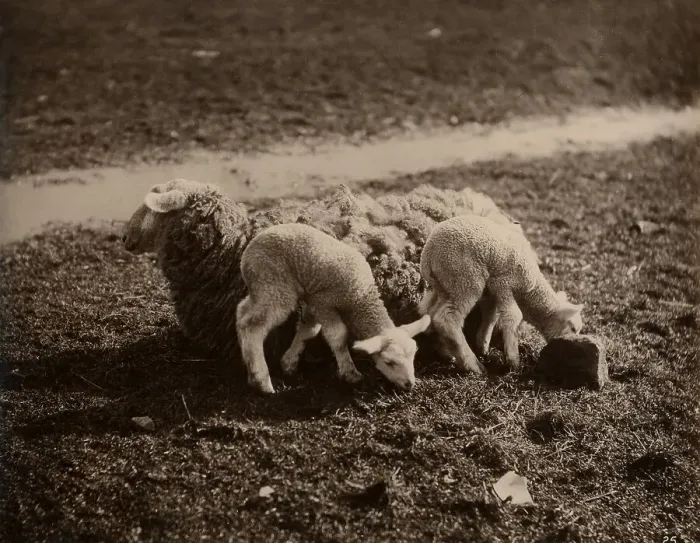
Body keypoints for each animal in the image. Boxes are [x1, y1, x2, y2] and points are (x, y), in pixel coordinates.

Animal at [236, 222, 431, 394]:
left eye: (413, 356)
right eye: (389, 362)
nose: (409, 384)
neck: (360, 297)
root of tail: (248, 252)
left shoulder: (314, 302)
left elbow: (308, 331)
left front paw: (289, 363)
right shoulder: (324, 302)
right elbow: (338, 336)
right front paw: (349, 373)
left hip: (262, 287)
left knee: (242, 312)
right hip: (274, 284)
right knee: (253, 325)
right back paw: (261, 381)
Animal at [418, 214, 584, 374]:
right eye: (573, 329)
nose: (573, 348)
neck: (531, 291)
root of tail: (428, 253)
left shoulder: (491, 291)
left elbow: (491, 316)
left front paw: (483, 345)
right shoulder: (503, 283)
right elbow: (513, 315)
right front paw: (513, 360)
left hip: (444, 286)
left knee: (430, 312)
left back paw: (446, 352)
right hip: (464, 278)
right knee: (447, 318)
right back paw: (472, 365)